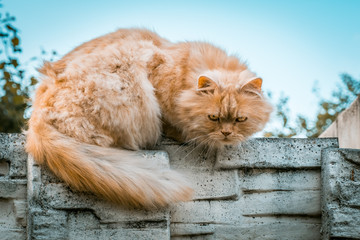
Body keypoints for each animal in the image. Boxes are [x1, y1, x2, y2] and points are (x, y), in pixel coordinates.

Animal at [25, 28, 272, 208]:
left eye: (240, 120)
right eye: (213, 117)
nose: (226, 133)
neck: (183, 75)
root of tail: (36, 118)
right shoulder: (159, 81)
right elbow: (172, 121)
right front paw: (183, 135)